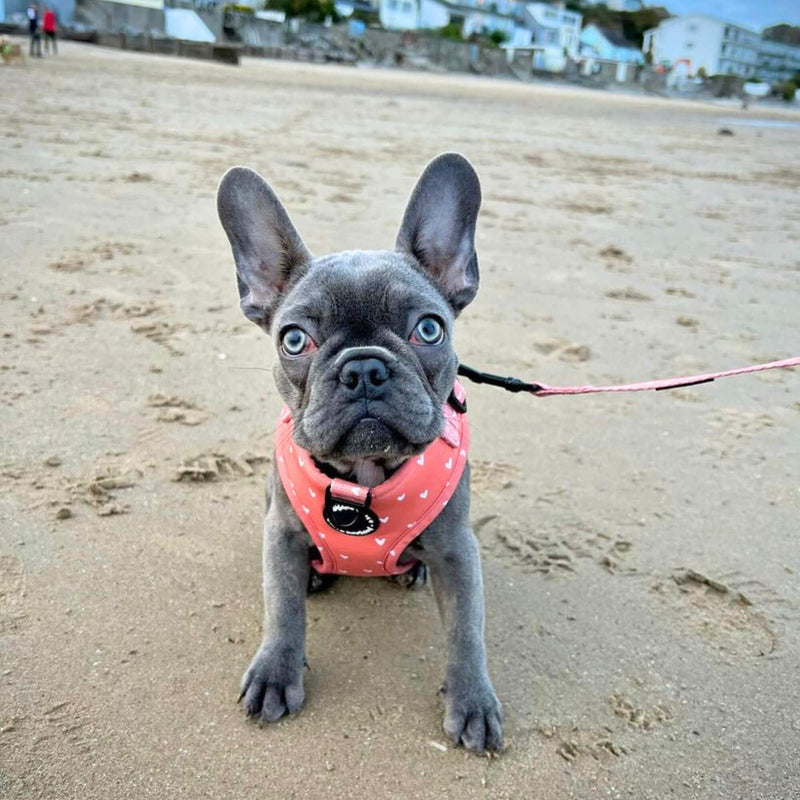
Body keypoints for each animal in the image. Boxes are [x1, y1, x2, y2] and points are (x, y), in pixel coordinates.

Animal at [216, 153, 504, 752]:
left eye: (429, 329)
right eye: (294, 339)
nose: (364, 368)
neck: (364, 475)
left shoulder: (458, 551)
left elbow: (467, 629)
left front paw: (472, 700)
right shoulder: (280, 535)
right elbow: (283, 610)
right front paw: (276, 672)